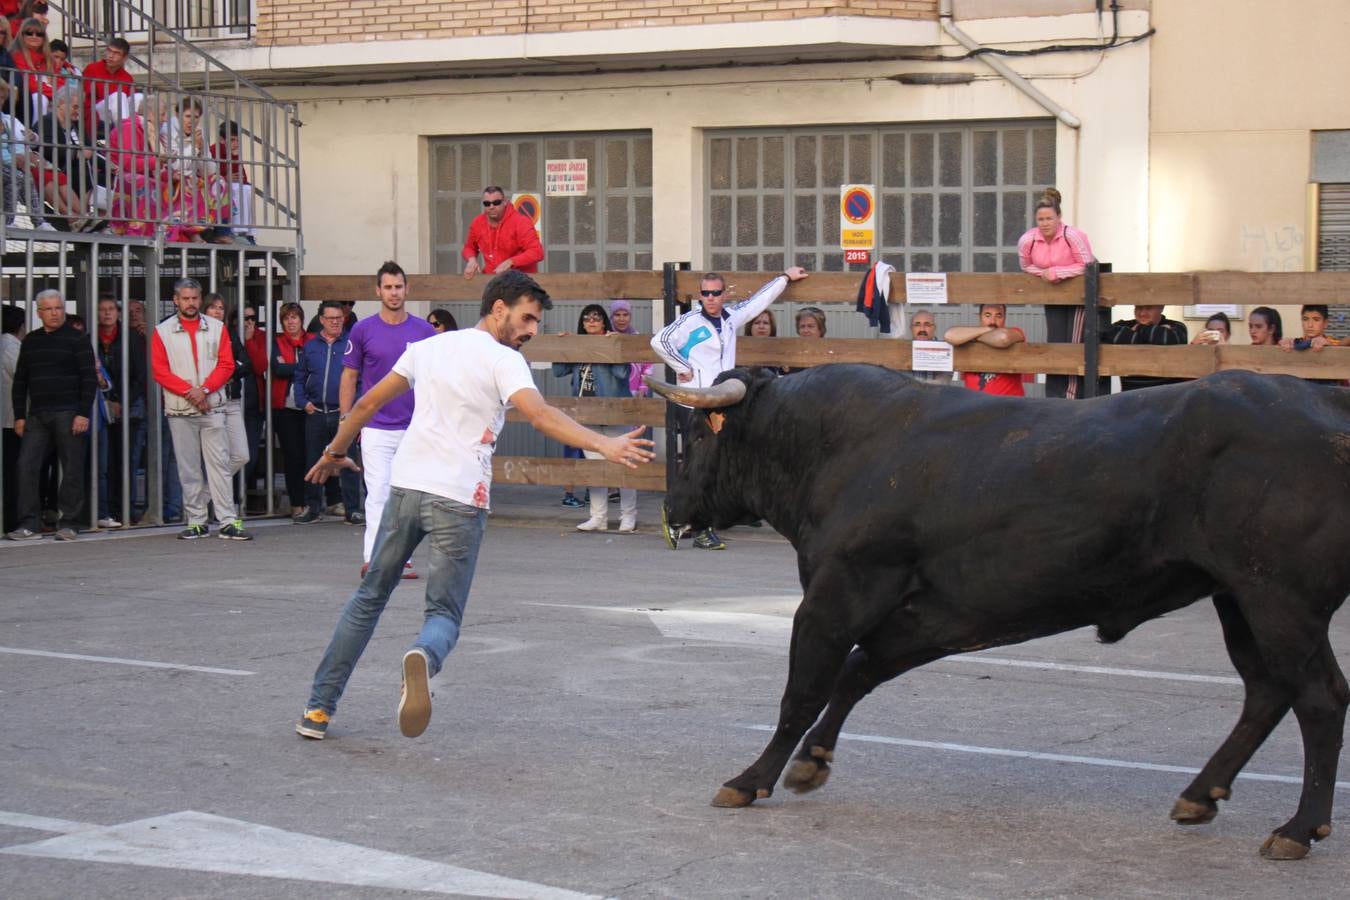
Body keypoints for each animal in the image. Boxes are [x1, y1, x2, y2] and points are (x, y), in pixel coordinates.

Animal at [648, 364, 1344, 858]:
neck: (836, 447)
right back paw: (1202, 795)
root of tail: (1329, 412)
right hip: (1239, 599)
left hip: (1279, 599)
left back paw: (1299, 828)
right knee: (1267, 691)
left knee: (1319, 697)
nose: (672, 509)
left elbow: (804, 689)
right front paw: (811, 763)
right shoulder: (938, 617)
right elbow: (858, 672)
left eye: (694, 435)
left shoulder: (836, 593)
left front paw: (752, 777)